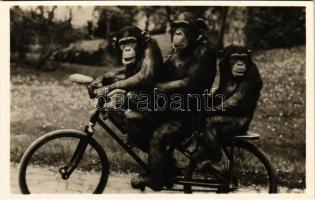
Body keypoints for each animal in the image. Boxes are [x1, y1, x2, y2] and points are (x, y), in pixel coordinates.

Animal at [131, 12, 217, 191]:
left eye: (184, 25)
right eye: (176, 25)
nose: (178, 32)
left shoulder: (205, 52)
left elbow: (190, 82)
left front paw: (136, 93)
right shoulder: (170, 51)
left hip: (186, 126)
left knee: (159, 137)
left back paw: (156, 181)